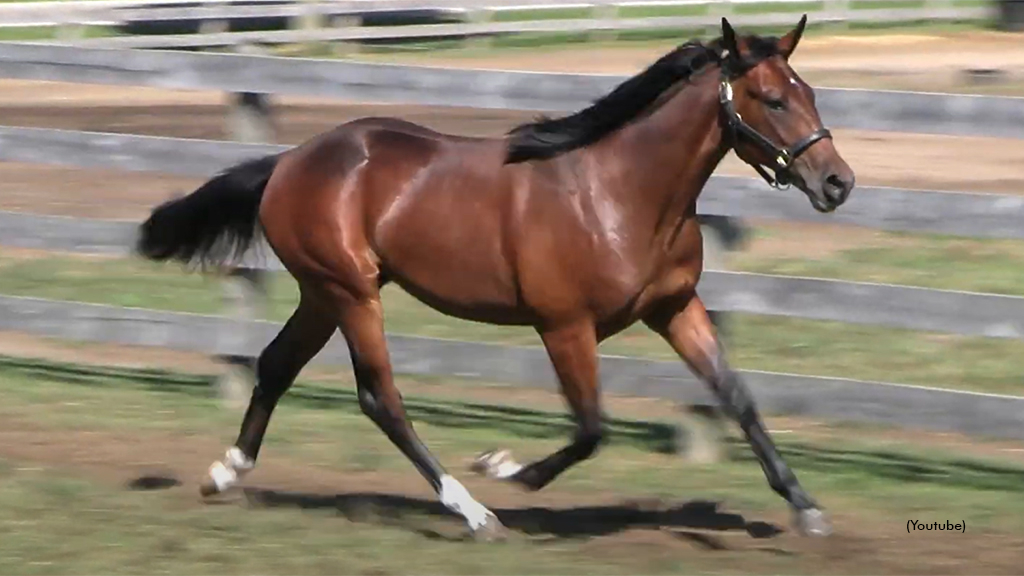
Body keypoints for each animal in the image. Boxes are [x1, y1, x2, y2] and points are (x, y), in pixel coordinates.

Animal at [136, 16, 856, 537]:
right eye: (771, 100)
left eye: (809, 92)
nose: (837, 183)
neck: (620, 193)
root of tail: (288, 161)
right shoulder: (565, 326)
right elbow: (592, 427)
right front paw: (503, 468)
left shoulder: (675, 306)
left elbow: (737, 396)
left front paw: (807, 508)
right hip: (350, 292)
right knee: (379, 397)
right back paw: (474, 511)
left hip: (324, 292)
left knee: (276, 364)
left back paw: (224, 474)